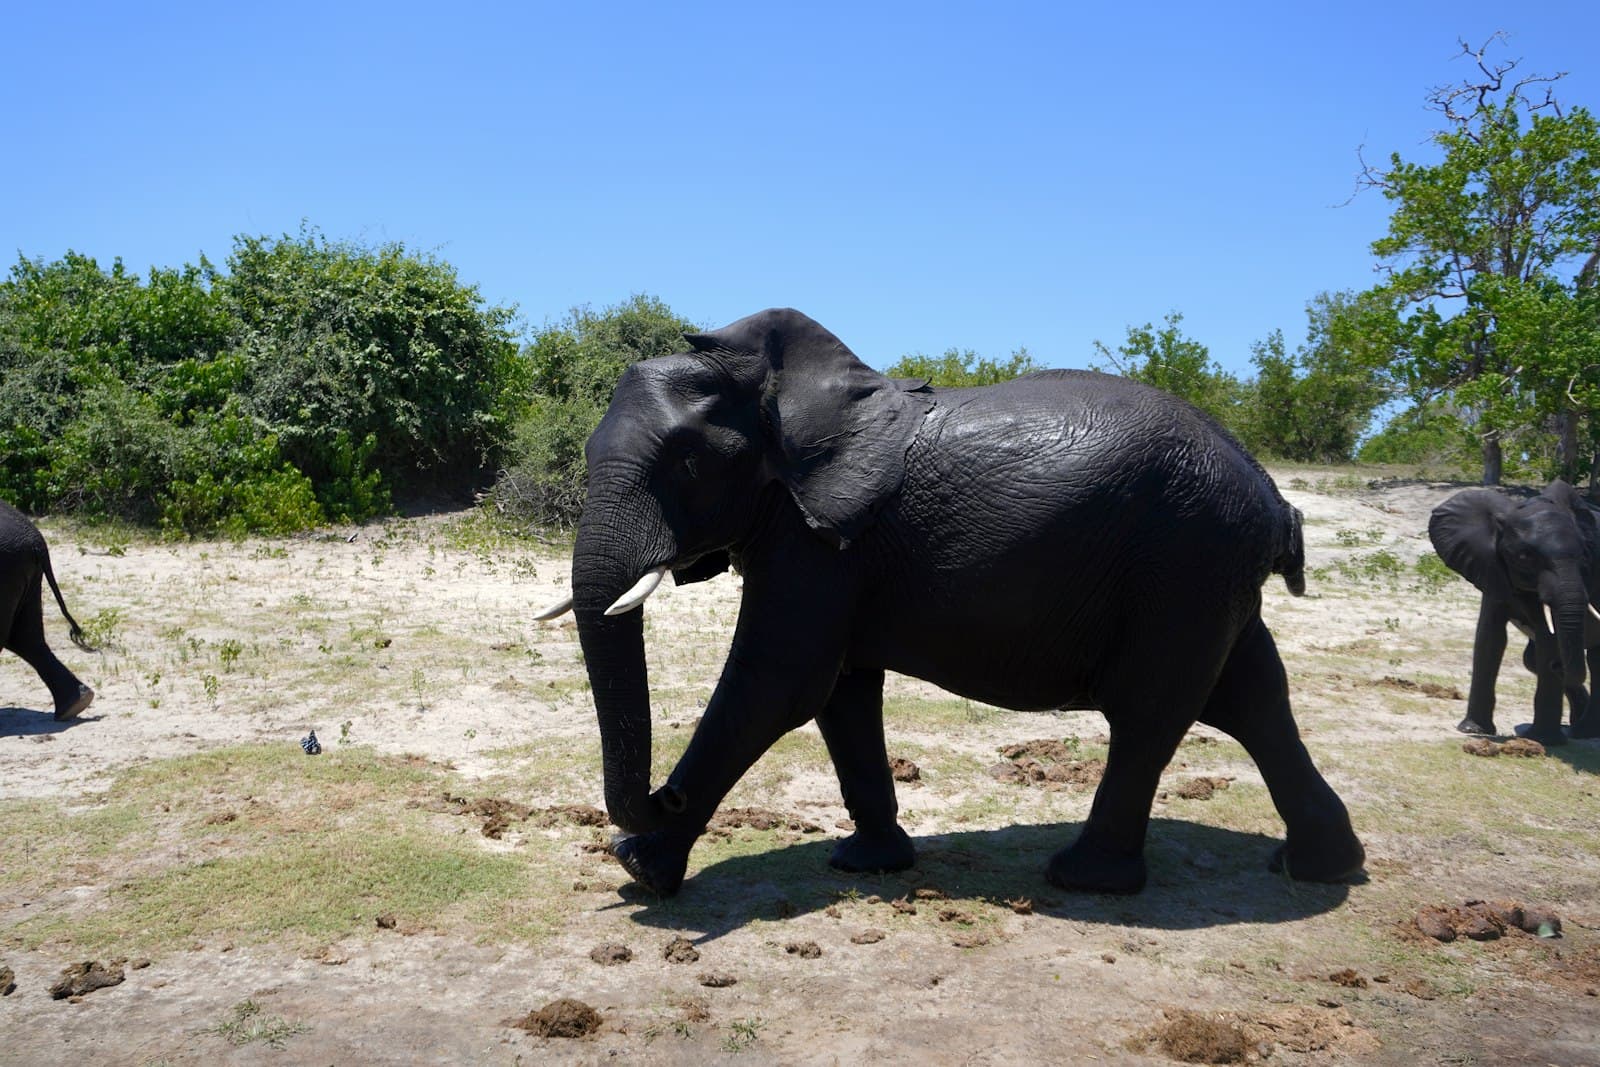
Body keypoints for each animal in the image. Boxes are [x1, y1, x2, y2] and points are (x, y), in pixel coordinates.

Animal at [537, 308, 1364, 897]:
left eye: (686, 462)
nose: (662, 797)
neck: (774, 388)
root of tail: (1273, 496)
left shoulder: (821, 537)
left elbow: (778, 679)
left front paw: (640, 867)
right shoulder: (830, 541)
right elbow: (840, 691)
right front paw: (867, 864)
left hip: (1183, 561)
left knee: (1152, 712)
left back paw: (1084, 880)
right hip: (1208, 573)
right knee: (1253, 695)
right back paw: (1319, 866)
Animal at [1428, 480, 1600, 745]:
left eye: (1584, 555)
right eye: (1524, 557)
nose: (1557, 666)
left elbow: (1547, 639)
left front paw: (1542, 740)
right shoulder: (1490, 565)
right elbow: (1491, 637)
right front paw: (1473, 730)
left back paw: (1582, 732)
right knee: (1532, 659)